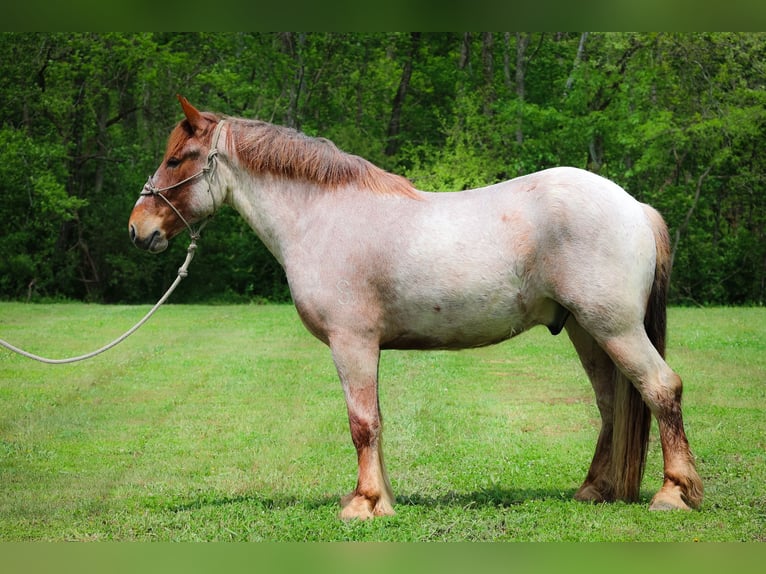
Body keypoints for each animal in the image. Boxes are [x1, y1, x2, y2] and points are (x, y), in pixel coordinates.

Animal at [129, 97, 704, 520]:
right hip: (588, 331)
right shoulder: (365, 347)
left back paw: (673, 494)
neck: (322, 216)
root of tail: (634, 207)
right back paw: (594, 490)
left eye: (177, 159)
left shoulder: (351, 342)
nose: (138, 229)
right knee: (612, 405)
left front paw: (362, 505)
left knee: (662, 389)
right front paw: (379, 499)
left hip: (616, 328)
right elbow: (376, 421)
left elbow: (361, 423)